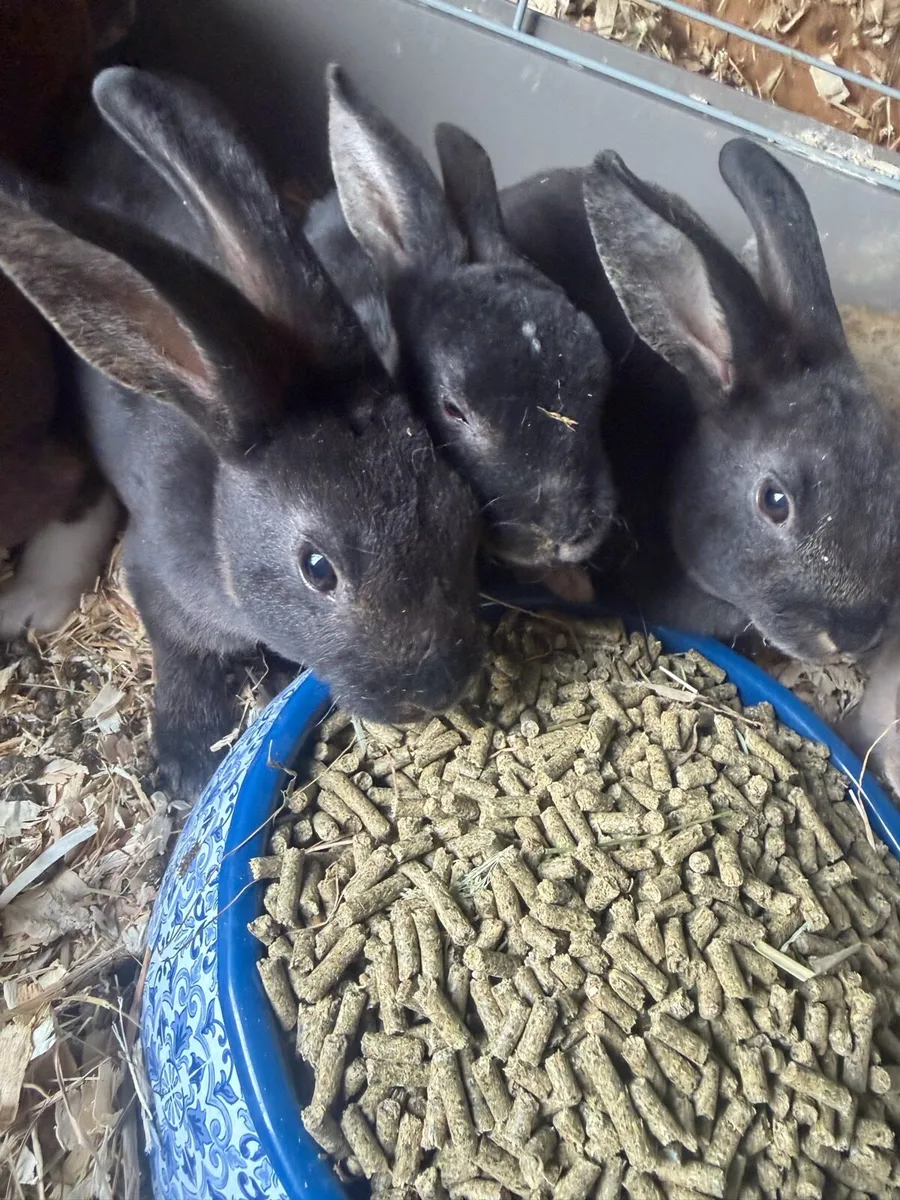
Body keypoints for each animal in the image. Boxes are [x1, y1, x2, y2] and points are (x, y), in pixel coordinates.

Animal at [0, 65, 485, 800]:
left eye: (459, 511)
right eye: (318, 569)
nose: (434, 693)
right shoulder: (153, 578)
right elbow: (184, 658)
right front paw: (191, 759)